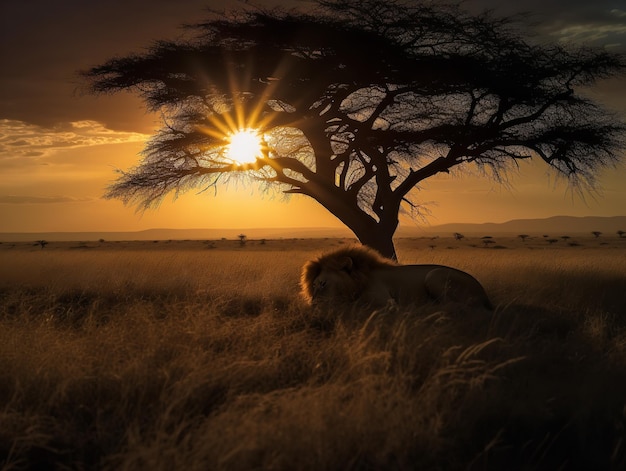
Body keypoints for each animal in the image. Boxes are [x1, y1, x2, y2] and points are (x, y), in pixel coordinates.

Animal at [300, 247, 490, 310]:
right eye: (314, 285)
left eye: (323, 283)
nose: (313, 305)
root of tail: (484, 294)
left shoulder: (386, 301)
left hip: (434, 274)